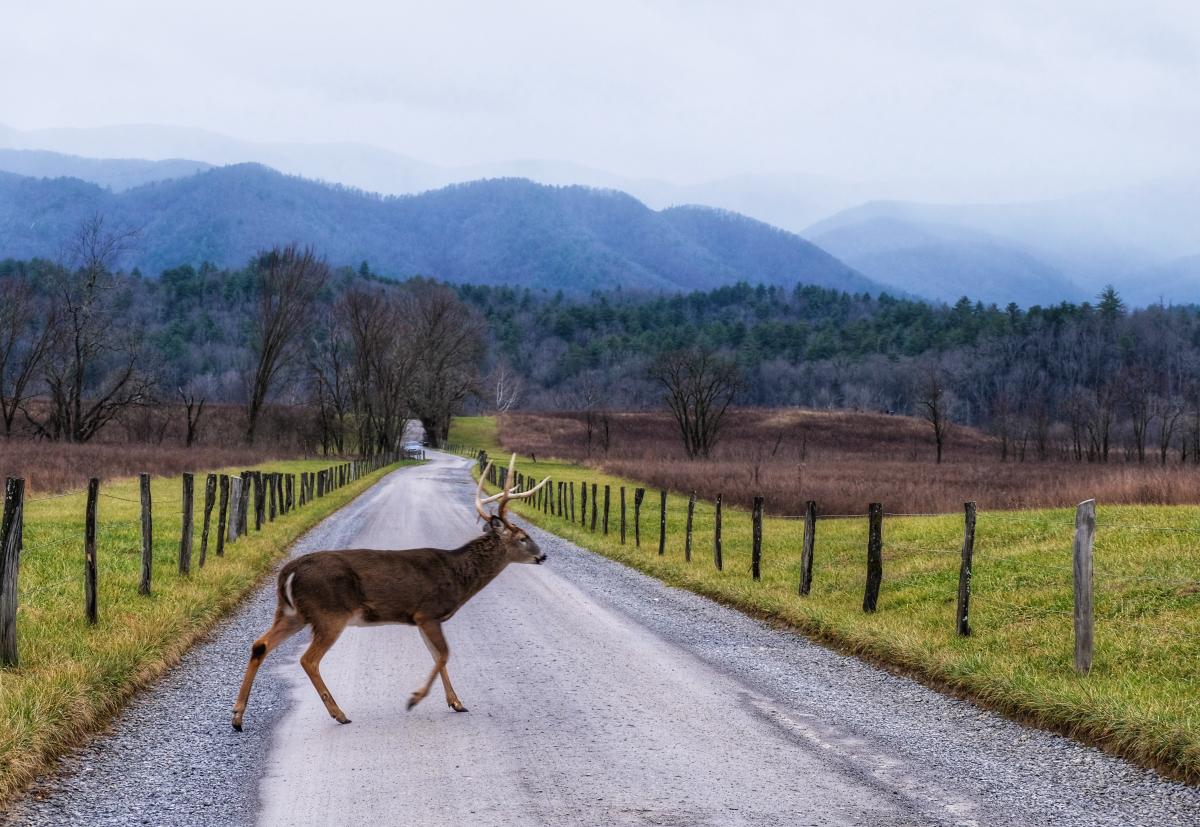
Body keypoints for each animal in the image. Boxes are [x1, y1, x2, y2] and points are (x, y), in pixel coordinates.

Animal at [230, 453, 549, 734]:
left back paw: (237, 716)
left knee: (260, 644)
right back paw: (339, 713)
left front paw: (456, 702)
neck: (458, 576)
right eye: (523, 538)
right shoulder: (428, 612)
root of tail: (289, 571)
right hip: (329, 613)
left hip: (292, 612)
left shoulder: (420, 618)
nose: (543, 556)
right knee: (308, 659)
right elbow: (444, 654)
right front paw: (415, 699)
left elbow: (438, 656)